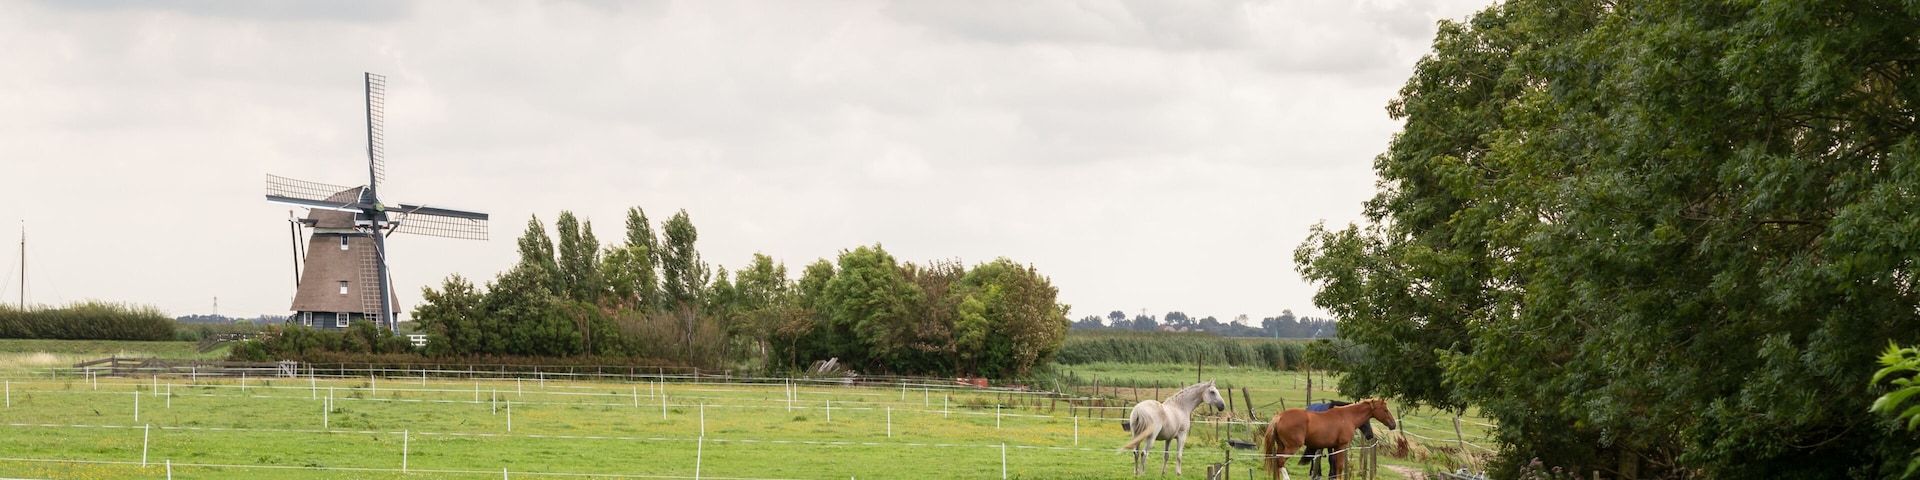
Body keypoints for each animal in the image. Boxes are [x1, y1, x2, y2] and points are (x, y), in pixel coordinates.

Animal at [1261, 398, 1398, 480]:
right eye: (1385, 410)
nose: (1393, 425)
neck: (1347, 416)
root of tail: (1279, 417)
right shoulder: (1341, 446)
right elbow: (1340, 466)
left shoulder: (1335, 447)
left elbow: (1336, 466)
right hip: (1291, 447)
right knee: (1280, 461)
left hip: (1281, 446)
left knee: (1277, 462)